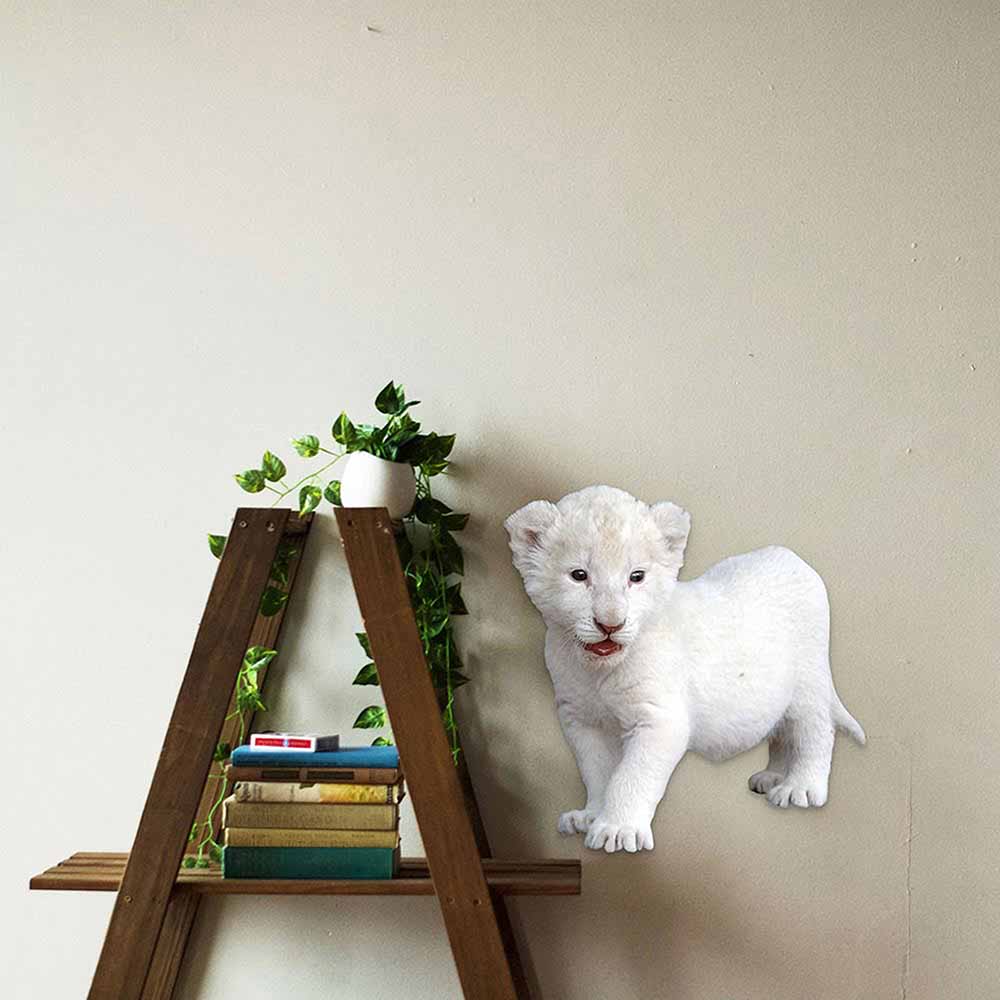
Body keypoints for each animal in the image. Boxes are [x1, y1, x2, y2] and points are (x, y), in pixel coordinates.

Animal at [504, 485, 865, 853]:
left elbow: (631, 776)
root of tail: (794, 558)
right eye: (579, 576)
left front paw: (617, 831)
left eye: (636, 576)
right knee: (781, 730)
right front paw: (590, 817)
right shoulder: (582, 719)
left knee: (814, 731)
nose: (610, 624)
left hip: (808, 681)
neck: (598, 671)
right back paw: (771, 777)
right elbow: (597, 772)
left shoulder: (658, 720)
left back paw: (800, 789)